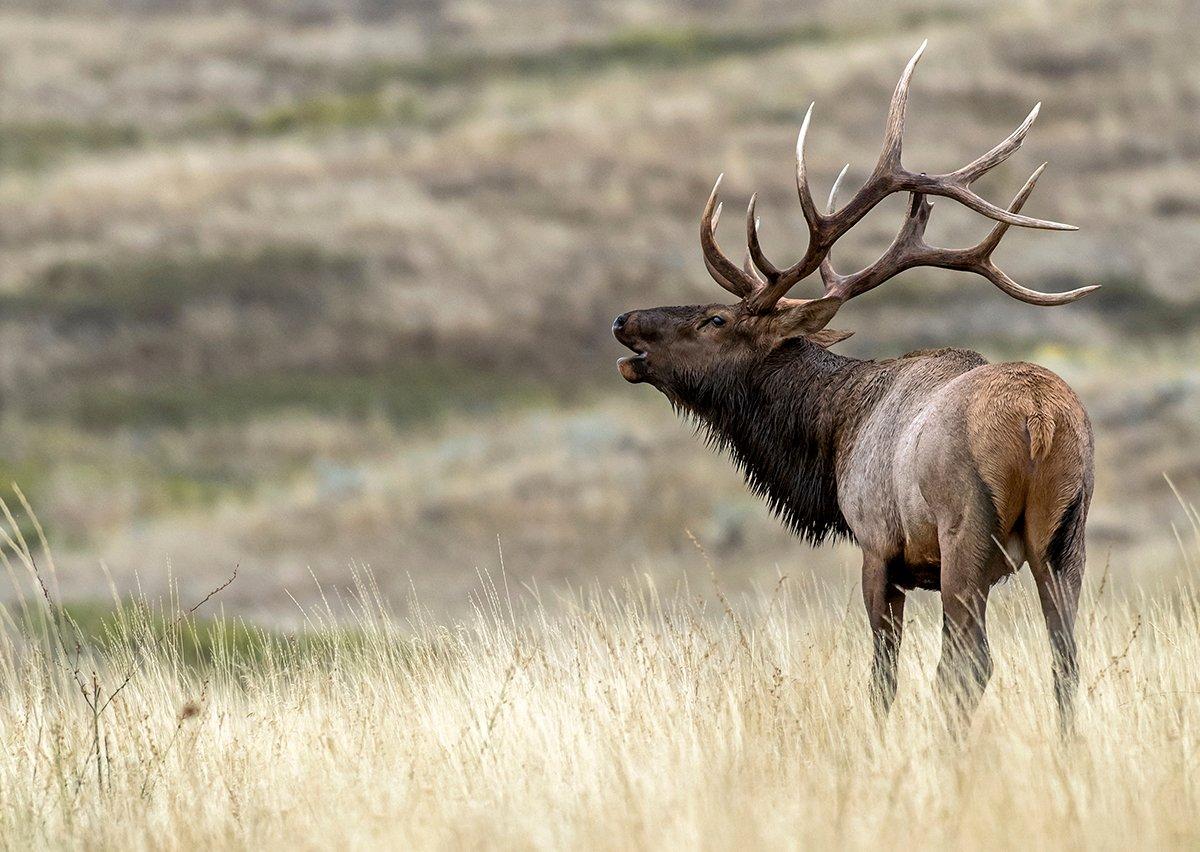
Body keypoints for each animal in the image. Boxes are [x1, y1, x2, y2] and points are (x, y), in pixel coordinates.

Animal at [619, 43, 1099, 729]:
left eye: (716, 319)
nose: (623, 321)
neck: (835, 434)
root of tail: (1040, 420)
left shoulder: (878, 545)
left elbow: (882, 676)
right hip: (1067, 536)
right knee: (1066, 659)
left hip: (966, 534)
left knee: (971, 662)